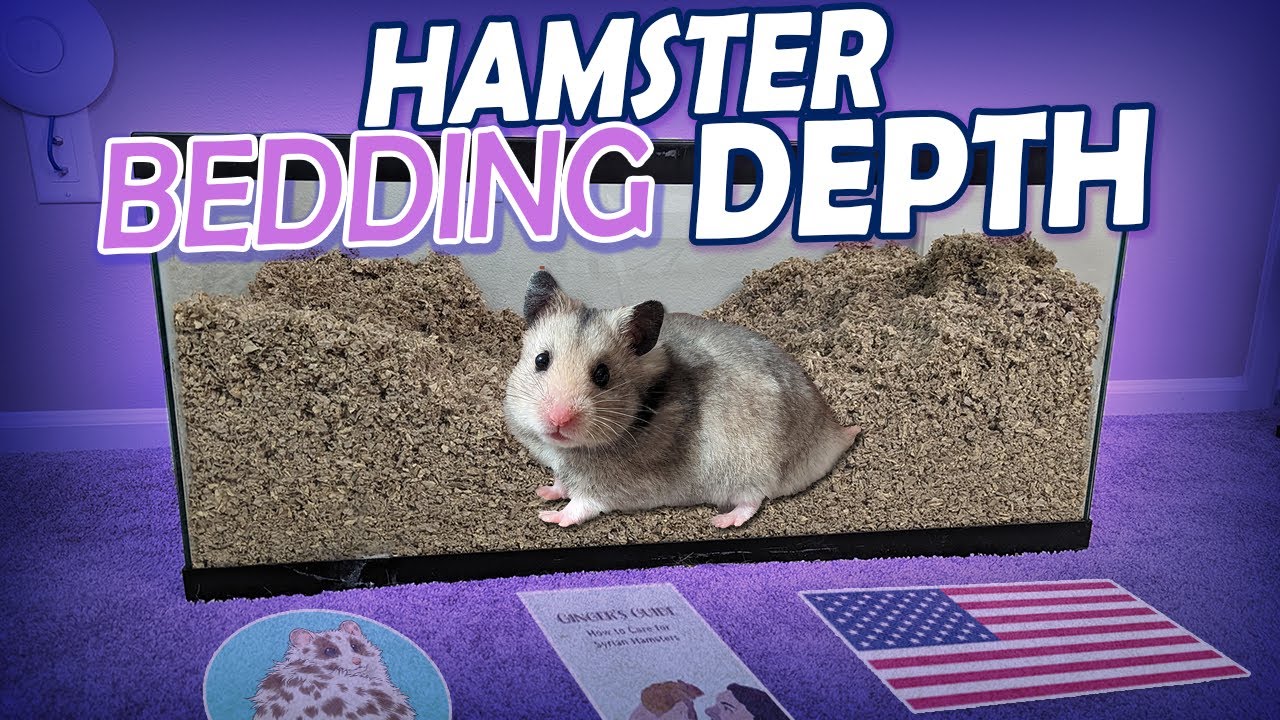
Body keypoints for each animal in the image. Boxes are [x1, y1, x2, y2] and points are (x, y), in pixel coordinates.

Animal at [503, 270, 861, 529]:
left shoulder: (607, 488)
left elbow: (580, 506)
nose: (558, 419)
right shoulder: (563, 468)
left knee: (753, 500)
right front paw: (543, 492)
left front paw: (547, 516)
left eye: (602, 374)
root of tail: (831, 433)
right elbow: (562, 483)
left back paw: (721, 521)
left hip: (750, 468)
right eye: (541, 360)